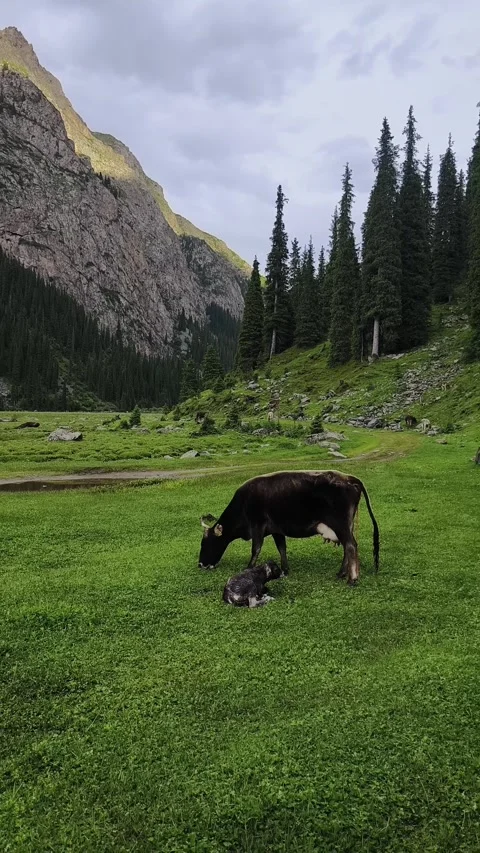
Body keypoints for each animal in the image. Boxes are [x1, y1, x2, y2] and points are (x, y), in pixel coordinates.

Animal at [199, 470, 379, 586]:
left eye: (205, 543)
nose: (200, 565)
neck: (243, 504)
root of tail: (348, 477)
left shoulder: (257, 526)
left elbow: (256, 548)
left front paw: (248, 568)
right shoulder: (276, 530)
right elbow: (282, 548)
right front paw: (285, 570)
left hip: (340, 524)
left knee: (350, 545)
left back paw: (352, 579)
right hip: (345, 526)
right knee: (348, 547)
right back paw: (342, 573)